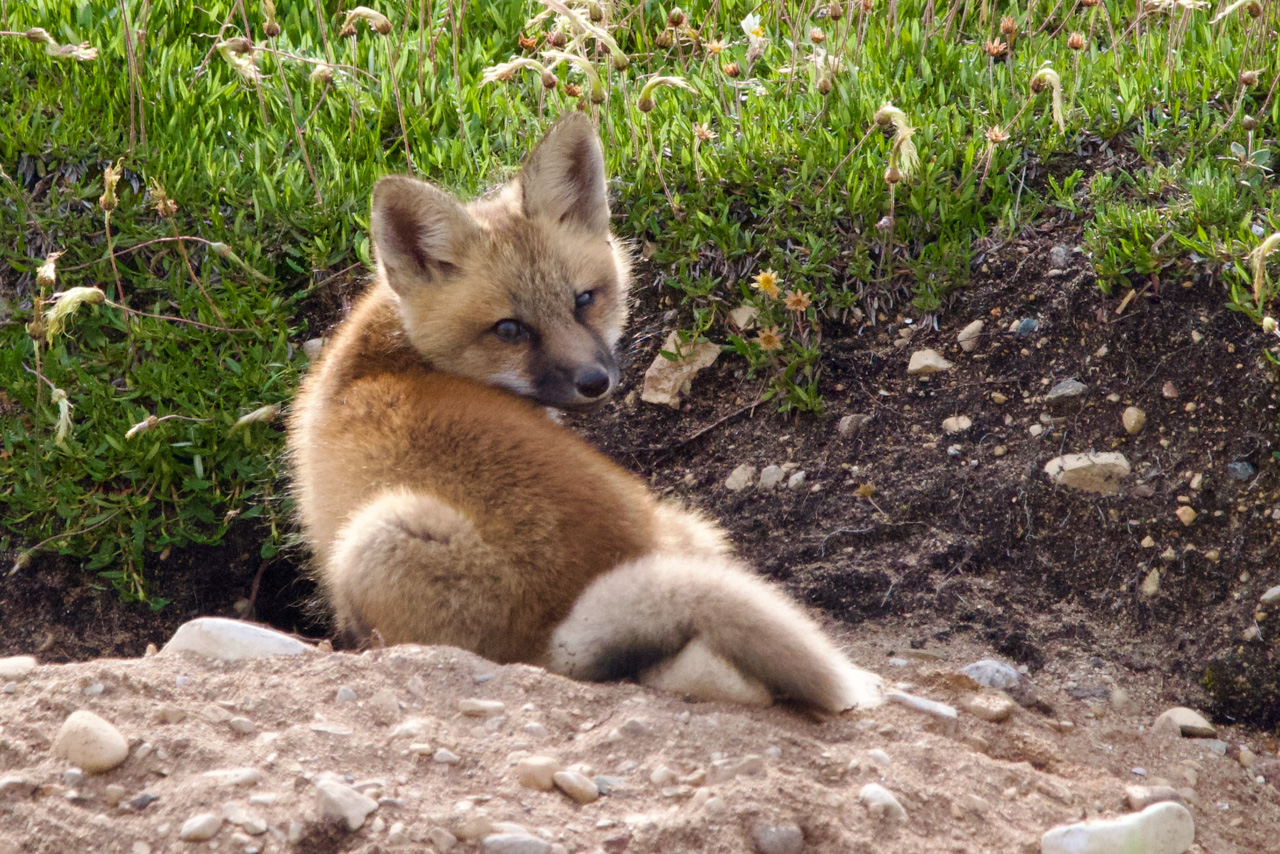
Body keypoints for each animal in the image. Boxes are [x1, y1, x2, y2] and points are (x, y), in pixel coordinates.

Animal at [287, 114, 881, 713]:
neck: (391, 351)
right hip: (691, 527)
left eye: (583, 300)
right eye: (510, 329)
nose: (596, 382)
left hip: (376, 534)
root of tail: (561, 625)